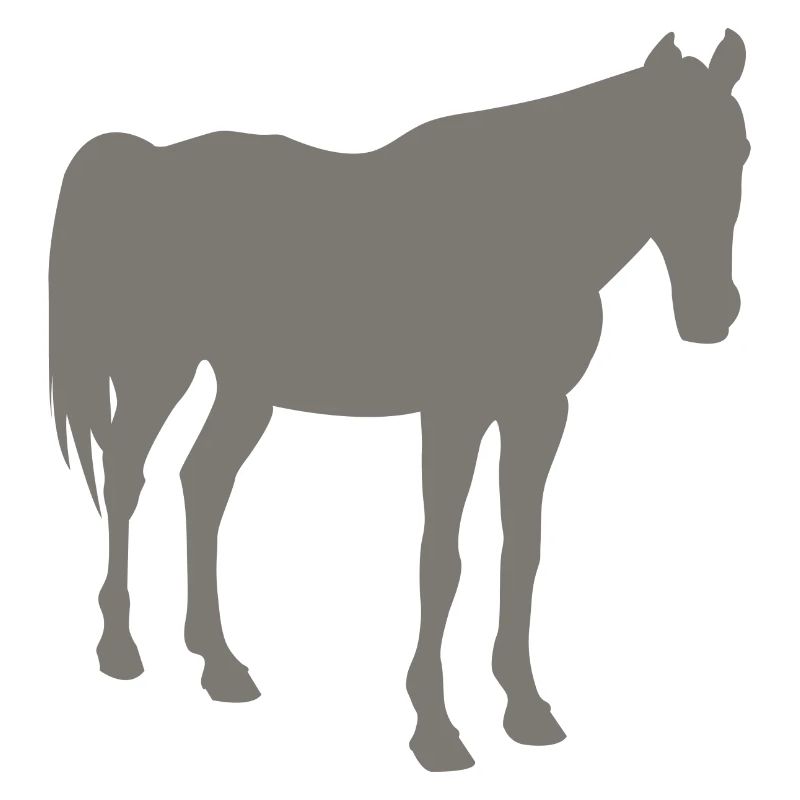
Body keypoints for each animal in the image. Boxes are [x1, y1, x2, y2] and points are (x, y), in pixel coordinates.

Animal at [49, 30, 748, 770]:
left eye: (740, 152)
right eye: (662, 153)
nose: (713, 311)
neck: (526, 233)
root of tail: (151, 162)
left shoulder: (539, 411)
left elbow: (522, 551)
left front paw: (526, 708)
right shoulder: (454, 413)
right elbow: (441, 559)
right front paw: (435, 728)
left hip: (247, 388)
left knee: (203, 483)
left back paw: (221, 664)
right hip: (161, 369)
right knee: (126, 479)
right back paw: (120, 649)